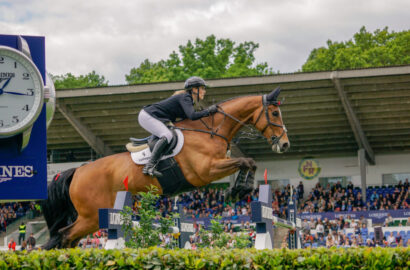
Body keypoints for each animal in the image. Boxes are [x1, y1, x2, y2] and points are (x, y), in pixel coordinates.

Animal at [41, 87, 290, 249]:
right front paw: (238, 190)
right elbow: (245, 161)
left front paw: (240, 189)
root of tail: (77, 171)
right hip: (92, 215)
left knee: (68, 239)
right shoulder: (206, 171)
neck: (211, 131)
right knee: (64, 236)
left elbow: (250, 162)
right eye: (274, 113)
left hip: (92, 218)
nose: (285, 144)